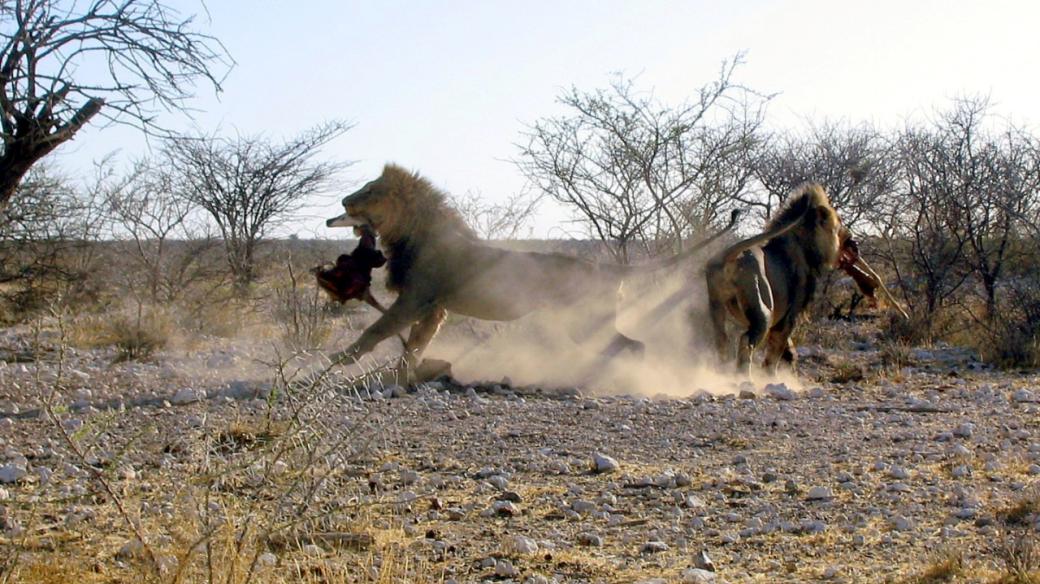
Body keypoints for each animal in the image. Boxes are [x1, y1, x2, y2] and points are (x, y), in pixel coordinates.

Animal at [324, 161, 740, 369]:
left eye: (369, 190)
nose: (342, 202)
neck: (407, 232)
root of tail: (607, 269)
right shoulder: (434, 308)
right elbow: (414, 346)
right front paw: (402, 377)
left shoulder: (416, 298)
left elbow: (377, 330)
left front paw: (340, 359)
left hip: (585, 321)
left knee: (632, 346)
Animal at [707, 181, 852, 372]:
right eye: (839, 223)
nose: (850, 237)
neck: (805, 247)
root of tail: (731, 255)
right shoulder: (789, 316)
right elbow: (775, 351)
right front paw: (771, 374)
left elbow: (787, 349)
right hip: (763, 309)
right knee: (746, 340)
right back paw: (743, 376)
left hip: (716, 303)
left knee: (721, 339)